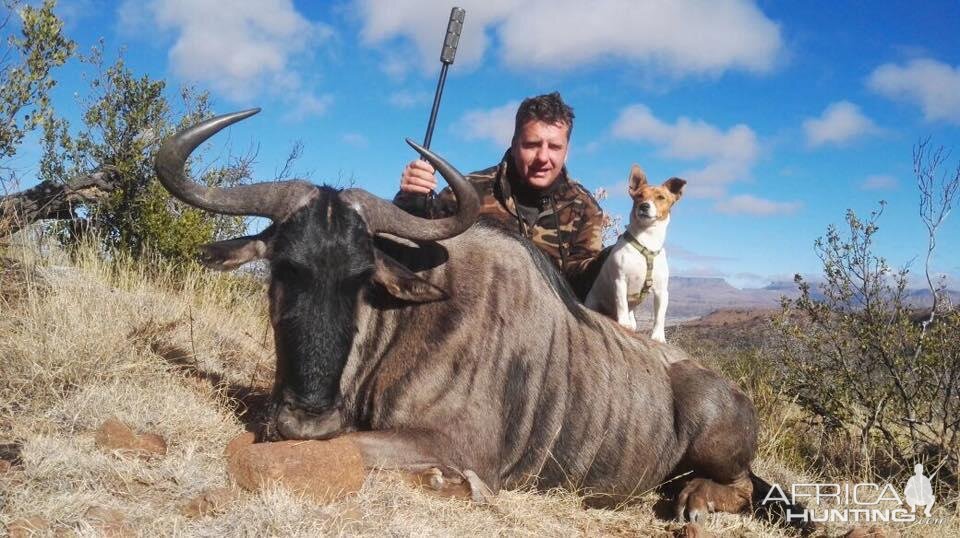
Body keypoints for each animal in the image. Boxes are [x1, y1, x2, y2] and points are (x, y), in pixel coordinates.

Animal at [584, 163, 684, 342]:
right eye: (639, 196)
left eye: (661, 197)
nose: (644, 206)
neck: (646, 243)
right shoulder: (620, 280)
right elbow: (622, 303)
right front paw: (624, 323)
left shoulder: (662, 291)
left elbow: (660, 316)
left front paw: (658, 336)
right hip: (593, 302)